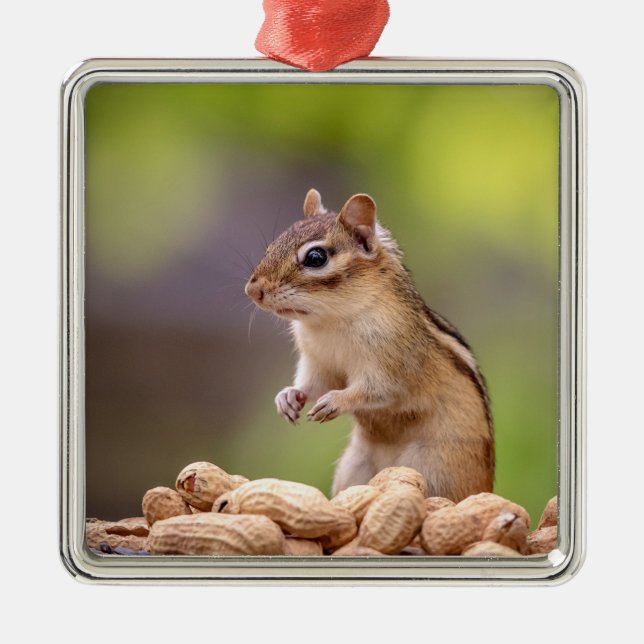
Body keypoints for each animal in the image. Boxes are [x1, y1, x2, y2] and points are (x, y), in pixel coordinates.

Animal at [245, 189, 494, 501]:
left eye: (315, 257)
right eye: (271, 247)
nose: (252, 290)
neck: (330, 321)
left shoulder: (393, 362)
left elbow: (378, 390)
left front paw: (336, 401)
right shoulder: (318, 363)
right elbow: (314, 384)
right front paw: (288, 396)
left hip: (435, 469)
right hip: (353, 468)